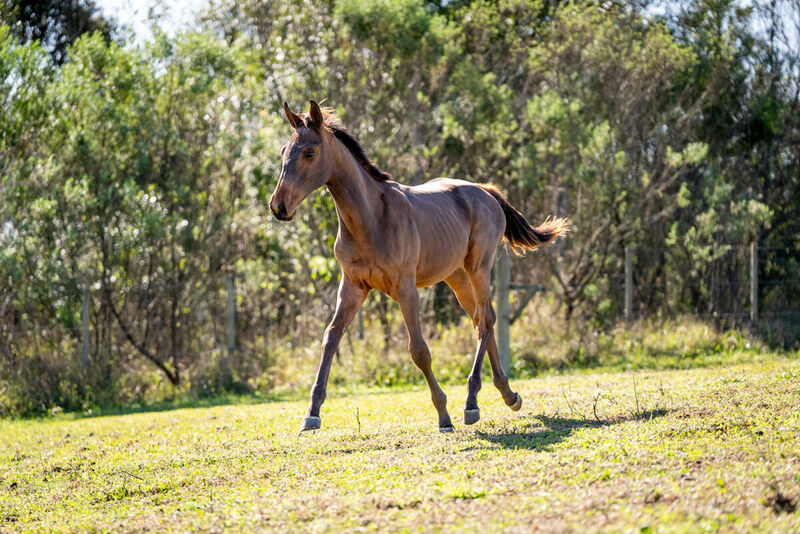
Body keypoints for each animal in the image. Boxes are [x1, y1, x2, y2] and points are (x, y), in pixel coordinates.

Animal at [272, 101, 564, 436]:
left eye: (309, 152)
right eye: (284, 151)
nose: (278, 206)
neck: (371, 219)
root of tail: (484, 191)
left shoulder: (405, 289)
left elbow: (419, 350)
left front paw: (444, 415)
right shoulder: (352, 287)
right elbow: (330, 337)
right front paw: (312, 413)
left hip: (478, 267)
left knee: (487, 321)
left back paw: (472, 403)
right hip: (456, 277)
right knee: (481, 320)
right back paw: (508, 394)